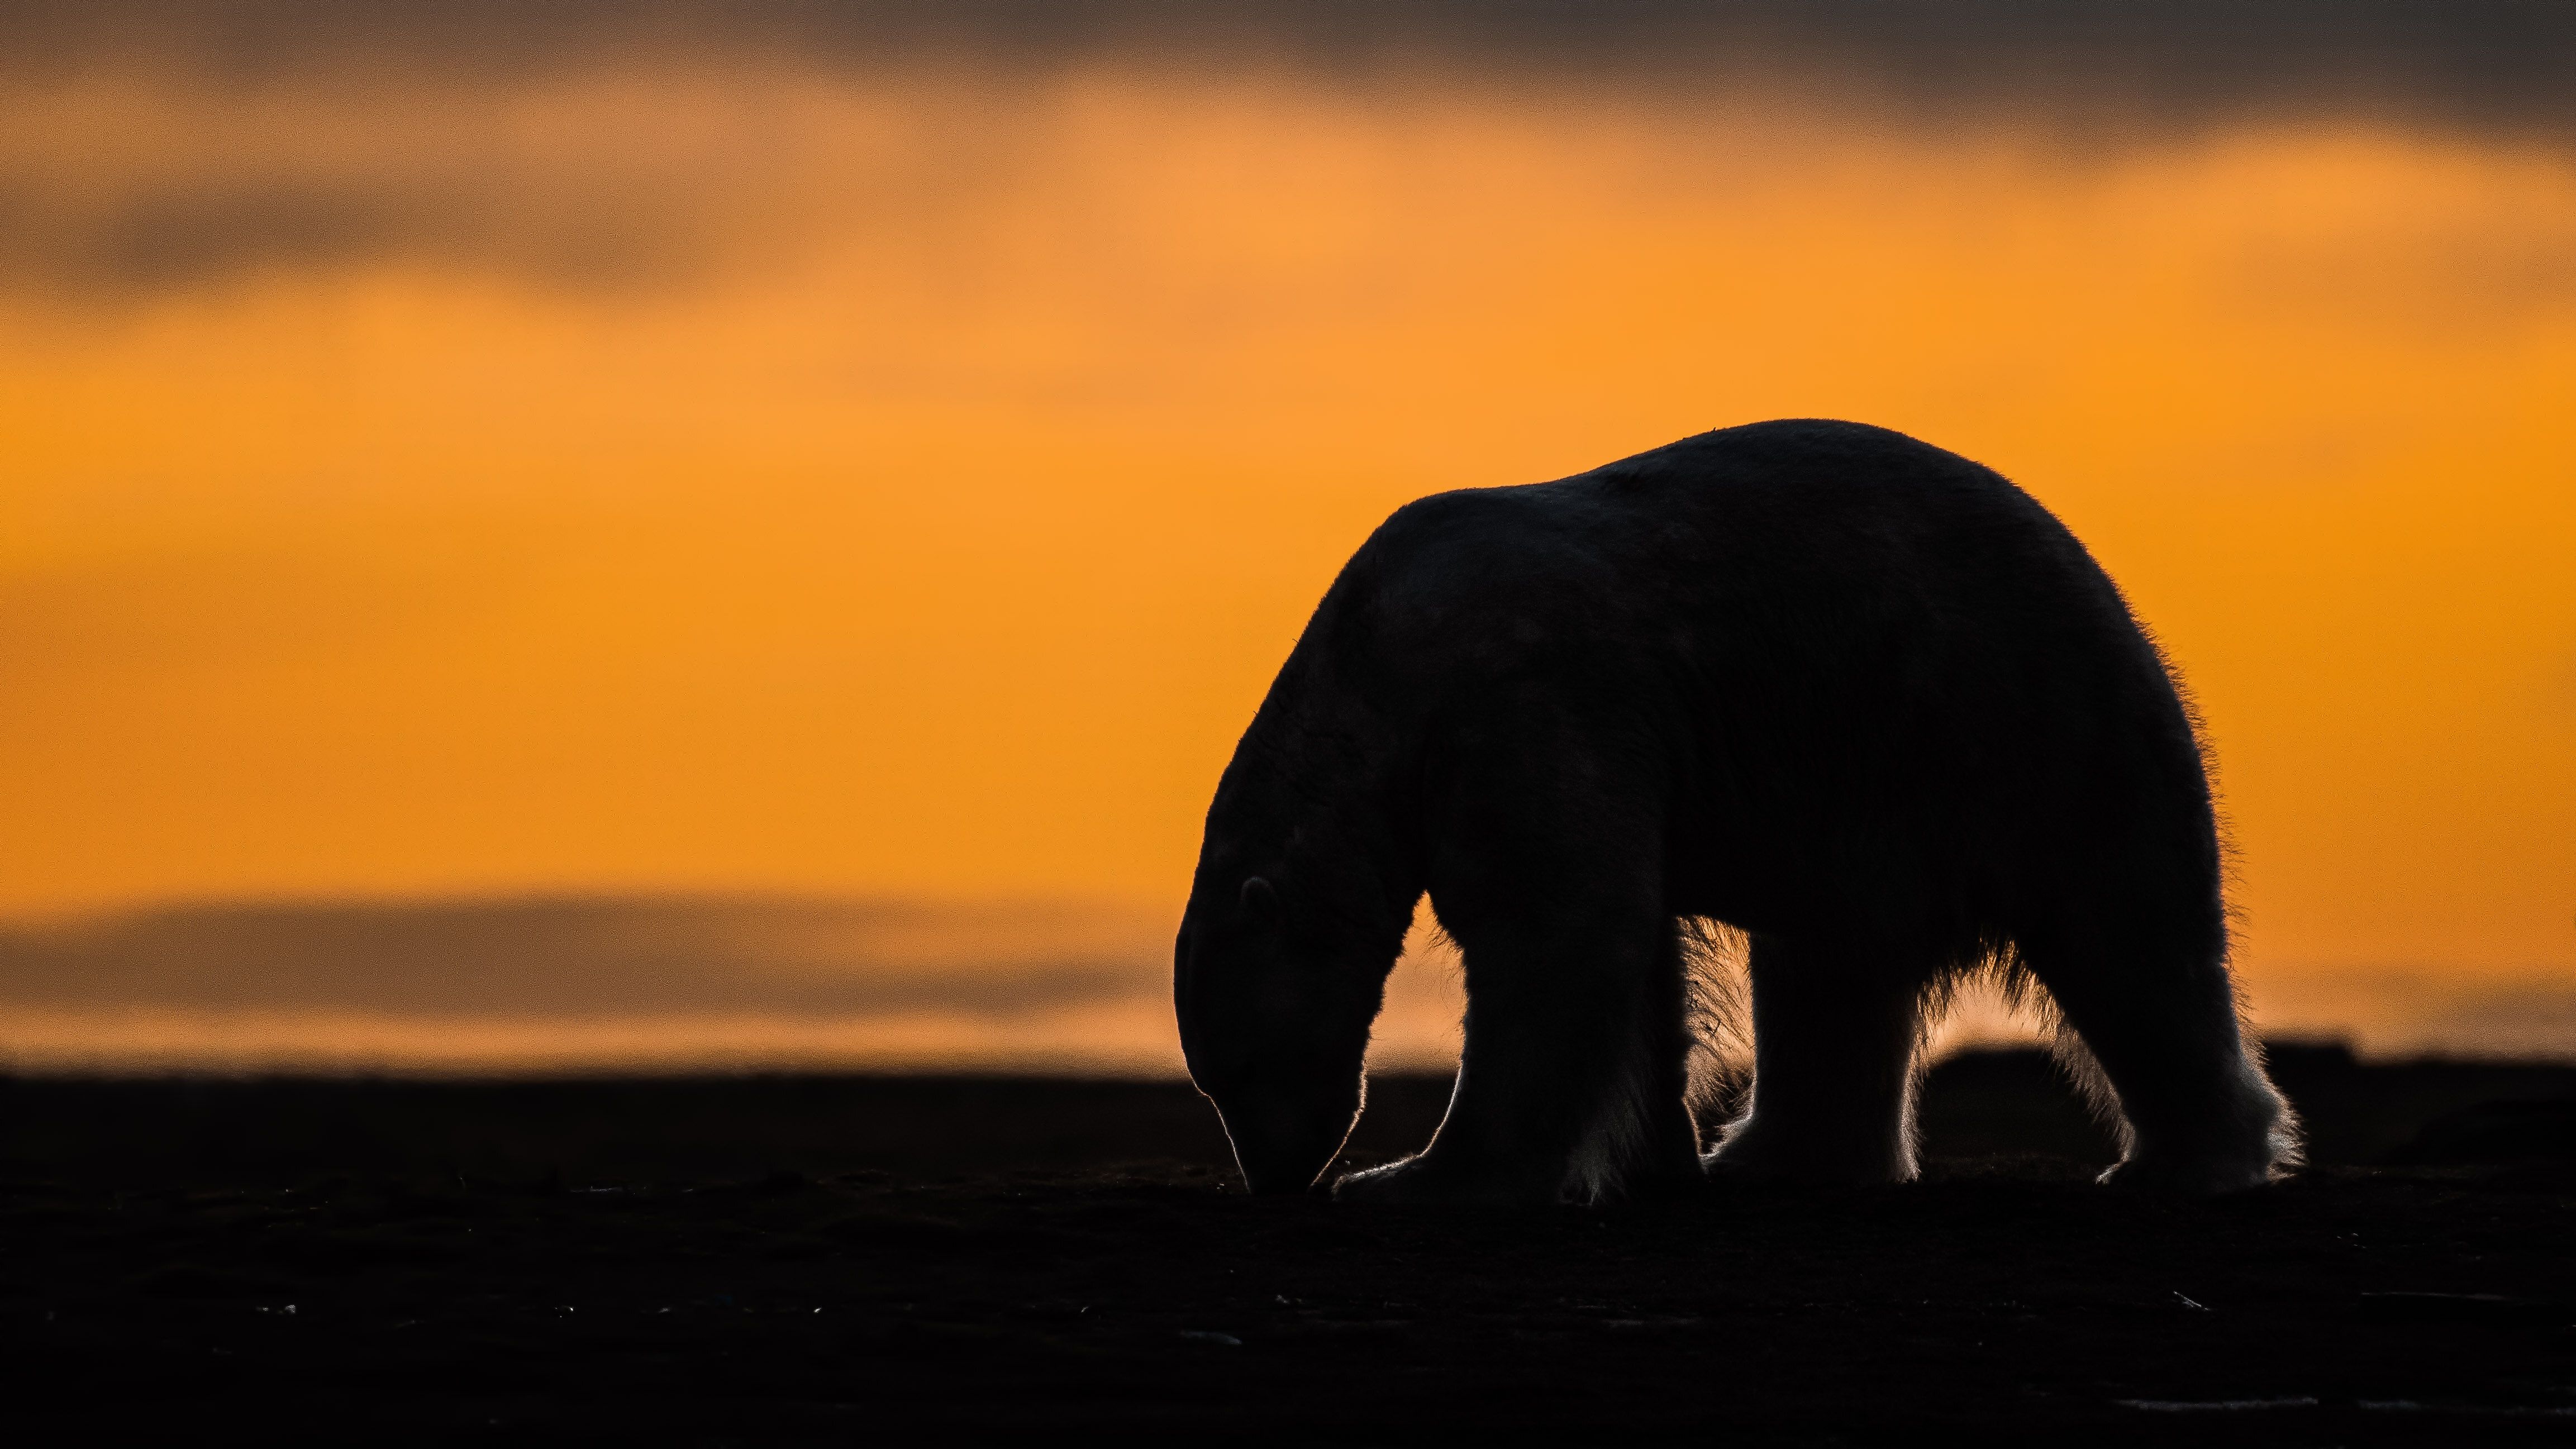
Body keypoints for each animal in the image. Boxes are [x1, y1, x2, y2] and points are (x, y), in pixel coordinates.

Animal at [1172, 419, 2299, 1203]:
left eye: (1238, 1067)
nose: (1277, 1174)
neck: (1378, 672)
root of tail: (2104, 584)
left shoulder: (1521, 698)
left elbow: (1554, 929)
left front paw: (1415, 1173)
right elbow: (1635, 959)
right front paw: (1652, 1156)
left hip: (2024, 728)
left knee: (2125, 935)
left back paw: (2182, 1161)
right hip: (1864, 791)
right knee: (1829, 973)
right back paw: (1773, 1154)